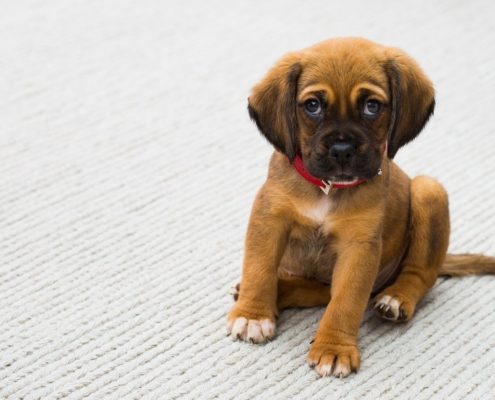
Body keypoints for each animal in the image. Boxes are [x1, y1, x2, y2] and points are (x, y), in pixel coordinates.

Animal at [228, 38, 495, 378]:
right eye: (312, 106)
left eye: (372, 106)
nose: (342, 150)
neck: (327, 189)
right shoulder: (269, 219)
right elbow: (259, 269)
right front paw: (253, 315)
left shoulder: (359, 247)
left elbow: (346, 302)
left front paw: (333, 349)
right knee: (319, 290)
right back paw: (279, 291)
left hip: (428, 191)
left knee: (420, 274)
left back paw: (397, 298)